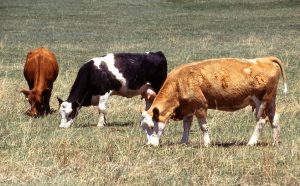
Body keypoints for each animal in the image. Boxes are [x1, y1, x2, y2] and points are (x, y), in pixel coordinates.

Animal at [142, 56, 288, 146]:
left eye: (151, 126)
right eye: (143, 128)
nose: (150, 145)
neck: (180, 82)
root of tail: (265, 59)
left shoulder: (200, 106)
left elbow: (203, 126)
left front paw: (207, 143)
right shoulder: (188, 108)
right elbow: (186, 125)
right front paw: (183, 142)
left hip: (261, 102)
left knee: (261, 121)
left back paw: (251, 142)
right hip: (271, 102)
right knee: (274, 118)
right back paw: (276, 141)